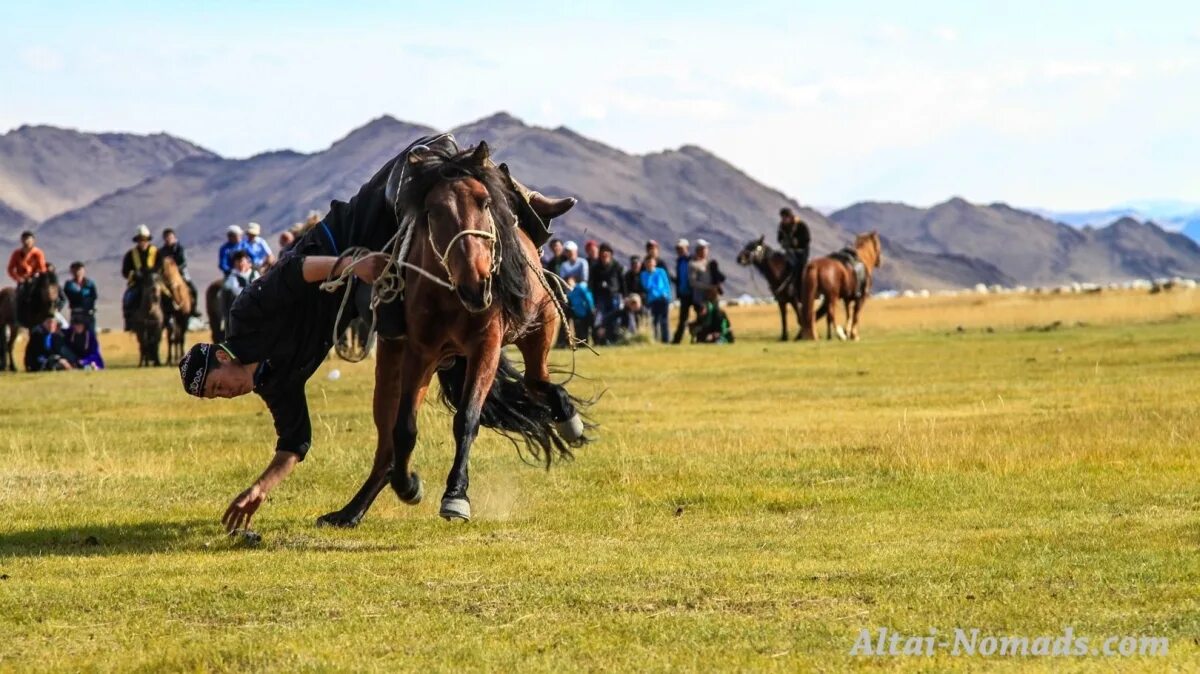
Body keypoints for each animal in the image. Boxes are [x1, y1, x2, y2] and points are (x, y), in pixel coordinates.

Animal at [316, 136, 583, 525]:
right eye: (433, 211)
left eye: (484, 201)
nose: (477, 283)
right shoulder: (420, 352)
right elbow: (404, 428)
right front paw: (409, 486)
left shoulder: (486, 346)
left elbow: (467, 419)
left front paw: (456, 496)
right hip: (397, 358)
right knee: (386, 438)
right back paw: (351, 510)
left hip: (539, 326)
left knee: (536, 381)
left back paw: (569, 420)